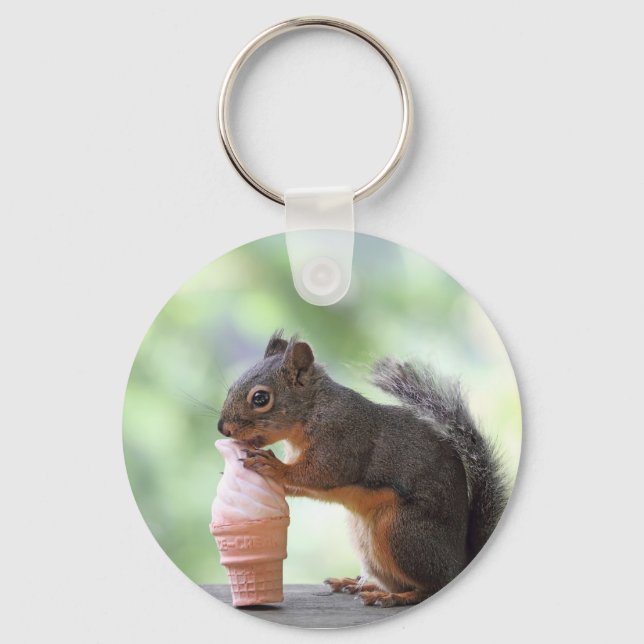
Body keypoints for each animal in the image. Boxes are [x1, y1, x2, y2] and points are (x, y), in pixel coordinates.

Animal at [217, 331, 509, 607]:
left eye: (261, 398)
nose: (223, 429)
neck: (313, 410)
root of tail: (461, 561)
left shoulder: (342, 441)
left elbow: (319, 473)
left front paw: (273, 466)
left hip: (402, 533)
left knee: (431, 587)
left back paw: (393, 597)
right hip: (367, 542)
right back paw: (359, 584)